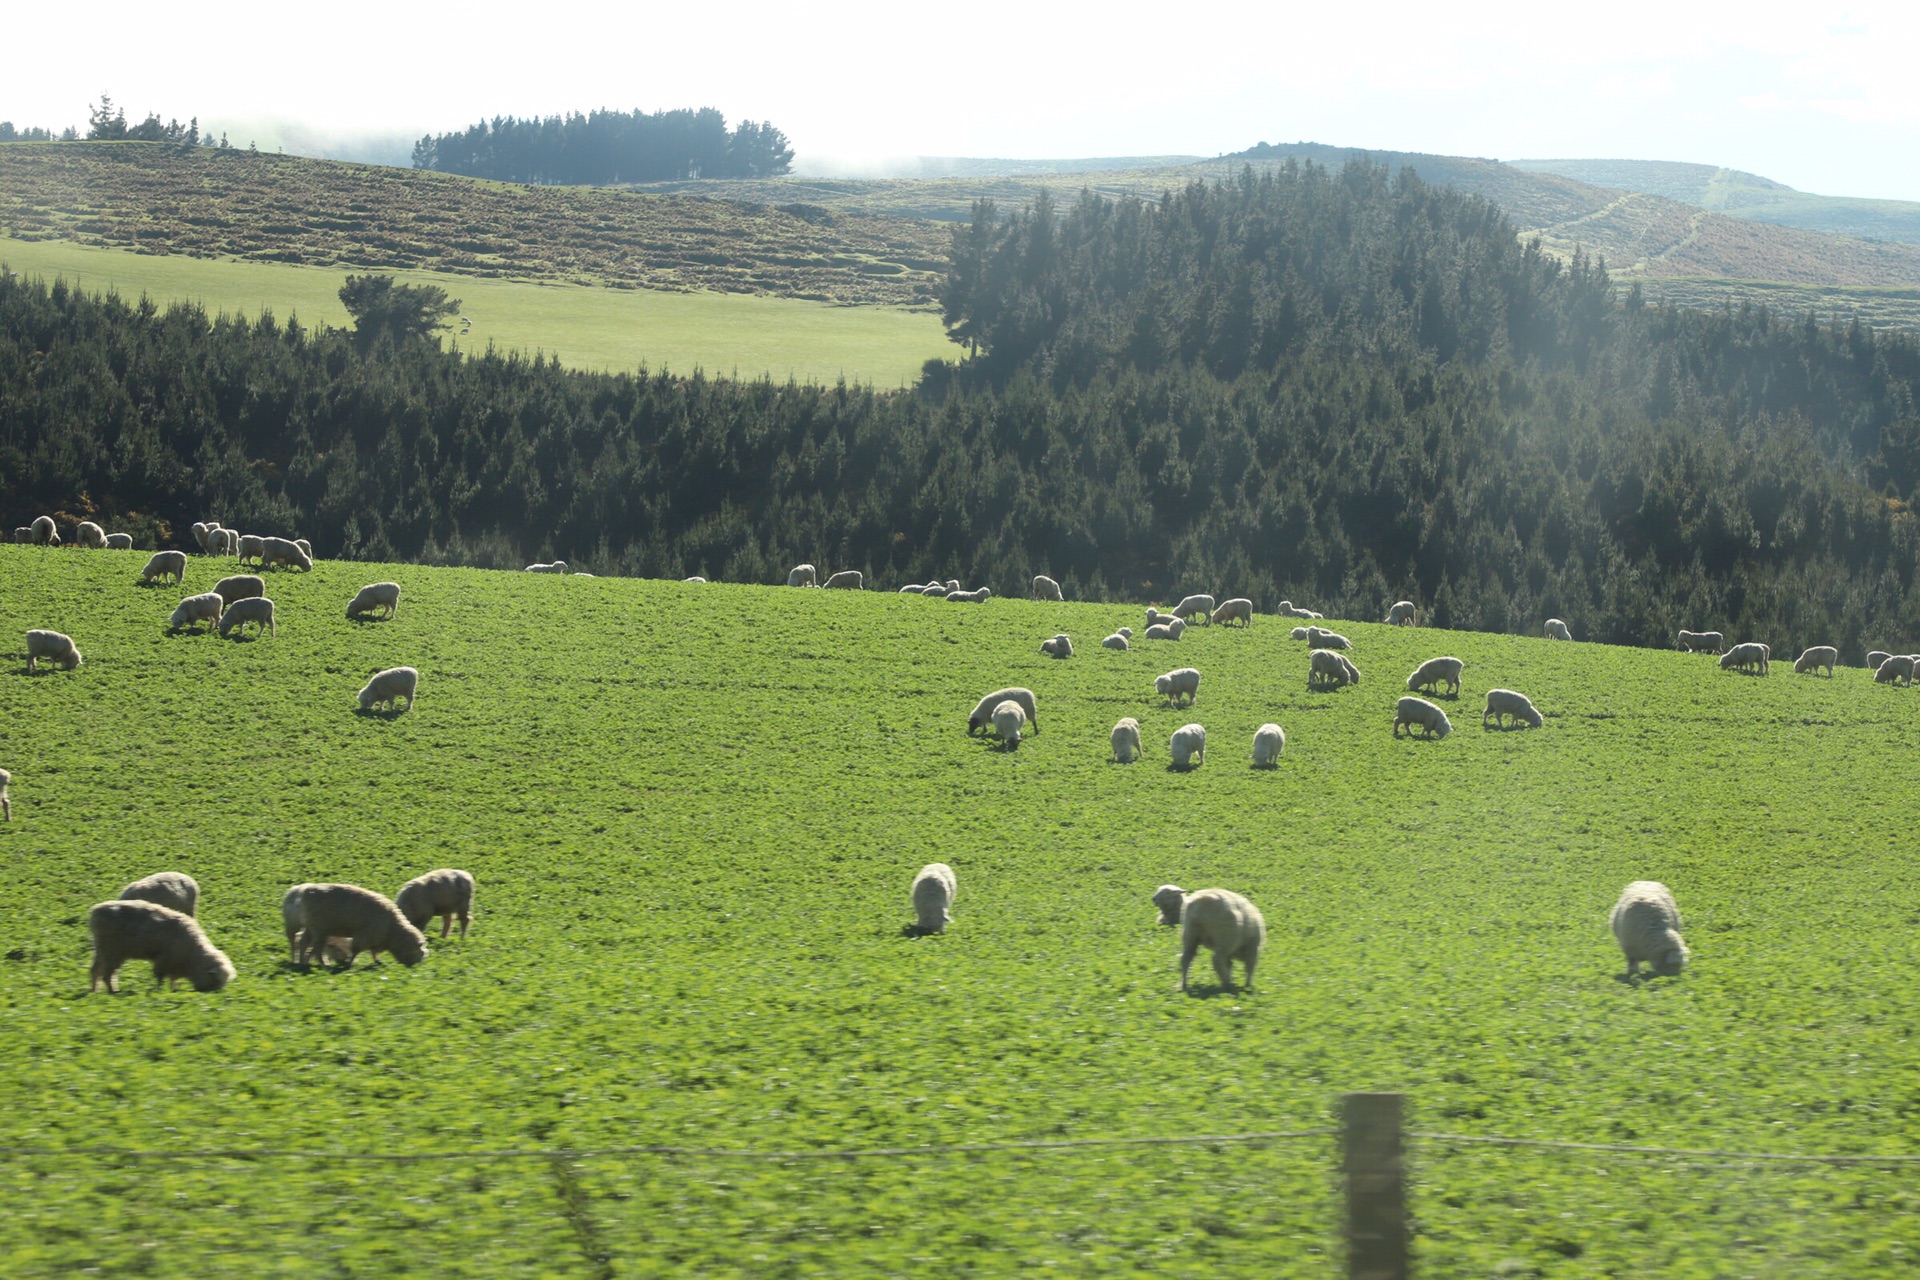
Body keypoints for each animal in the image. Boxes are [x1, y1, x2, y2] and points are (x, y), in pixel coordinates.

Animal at [88, 898, 234, 997]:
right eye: (214, 982)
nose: (209, 994)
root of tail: (96, 910)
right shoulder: (165, 959)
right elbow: (160, 976)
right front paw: (160, 990)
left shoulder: (175, 963)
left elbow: (173, 978)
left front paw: (173, 989)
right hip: (112, 951)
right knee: (107, 974)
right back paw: (113, 991)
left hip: (102, 949)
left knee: (95, 969)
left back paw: (95, 990)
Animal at [280, 886, 428, 967]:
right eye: (419, 954)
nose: (415, 968)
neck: (392, 929)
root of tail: (306, 891)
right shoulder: (366, 935)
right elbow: (356, 950)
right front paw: (350, 963)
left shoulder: (374, 938)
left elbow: (373, 952)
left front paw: (377, 961)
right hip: (319, 929)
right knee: (316, 949)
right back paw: (323, 964)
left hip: (312, 928)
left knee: (304, 943)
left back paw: (303, 963)